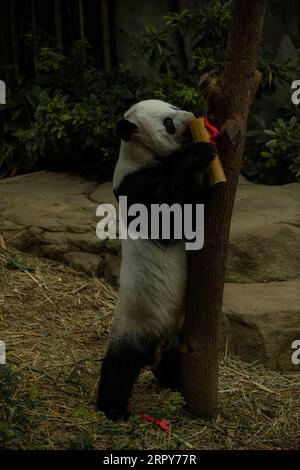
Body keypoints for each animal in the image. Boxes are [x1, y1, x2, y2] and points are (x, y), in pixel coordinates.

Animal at [97, 100, 214, 422]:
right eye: (168, 124)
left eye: (174, 106)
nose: (190, 117)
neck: (139, 152)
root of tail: (157, 339)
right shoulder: (136, 186)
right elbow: (174, 215)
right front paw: (200, 155)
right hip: (135, 320)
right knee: (119, 365)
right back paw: (113, 408)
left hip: (177, 329)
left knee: (174, 357)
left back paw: (172, 380)